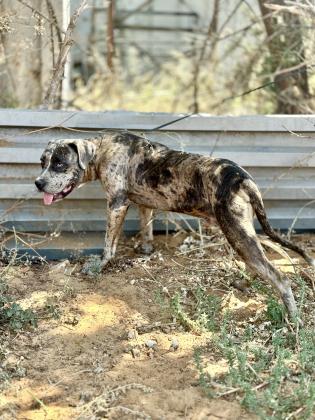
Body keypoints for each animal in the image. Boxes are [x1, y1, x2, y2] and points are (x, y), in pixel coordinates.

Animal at [35, 133, 315, 320]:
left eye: (59, 163)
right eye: (42, 162)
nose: (38, 183)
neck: (103, 149)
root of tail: (242, 178)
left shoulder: (116, 205)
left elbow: (108, 245)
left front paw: (99, 266)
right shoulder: (142, 204)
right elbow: (146, 228)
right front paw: (146, 250)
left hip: (236, 231)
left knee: (279, 277)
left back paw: (293, 319)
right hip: (241, 231)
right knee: (260, 263)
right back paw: (244, 284)